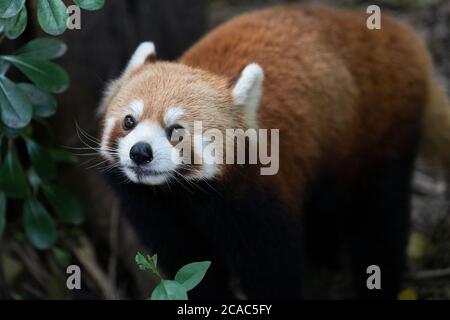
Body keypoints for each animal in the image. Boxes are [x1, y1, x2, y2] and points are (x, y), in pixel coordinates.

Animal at [96, 5, 448, 300]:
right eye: (129, 121)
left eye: (176, 131)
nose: (140, 152)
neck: (181, 193)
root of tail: (400, 32)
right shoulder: (154, 209)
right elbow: (188, 264)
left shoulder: (257, 196)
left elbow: (272, 270)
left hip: (380, 136)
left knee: (378, 221)